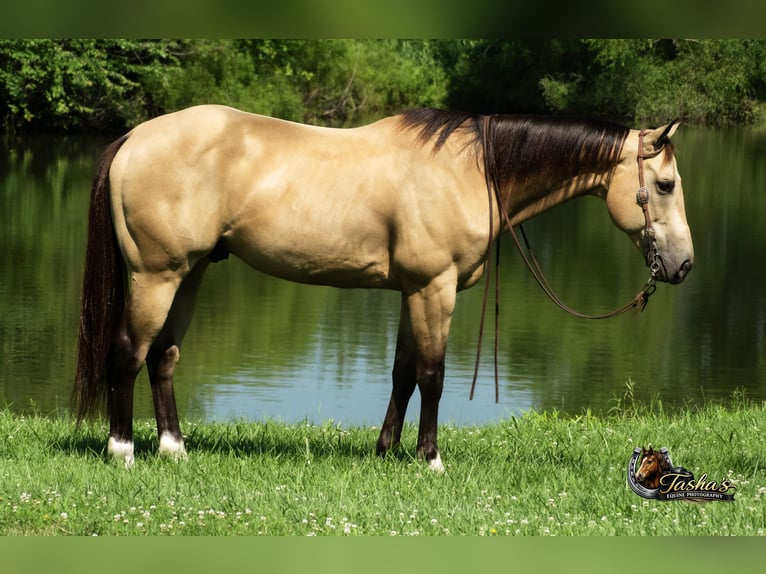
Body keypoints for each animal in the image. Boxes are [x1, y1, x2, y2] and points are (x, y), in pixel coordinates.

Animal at [72, 105, 693, 471]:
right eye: (664, 184)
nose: (683, 265)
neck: (468, 172)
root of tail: (133, 137)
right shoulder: (434, 288)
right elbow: (432, 376)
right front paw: (430, 458)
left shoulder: (410, 292)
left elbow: (402, 374)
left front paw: (386, 450)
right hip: (158, 275)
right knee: (127, 353)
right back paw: (123, 451)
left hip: (192, 272)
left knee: (164, 356)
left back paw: (174, 448)